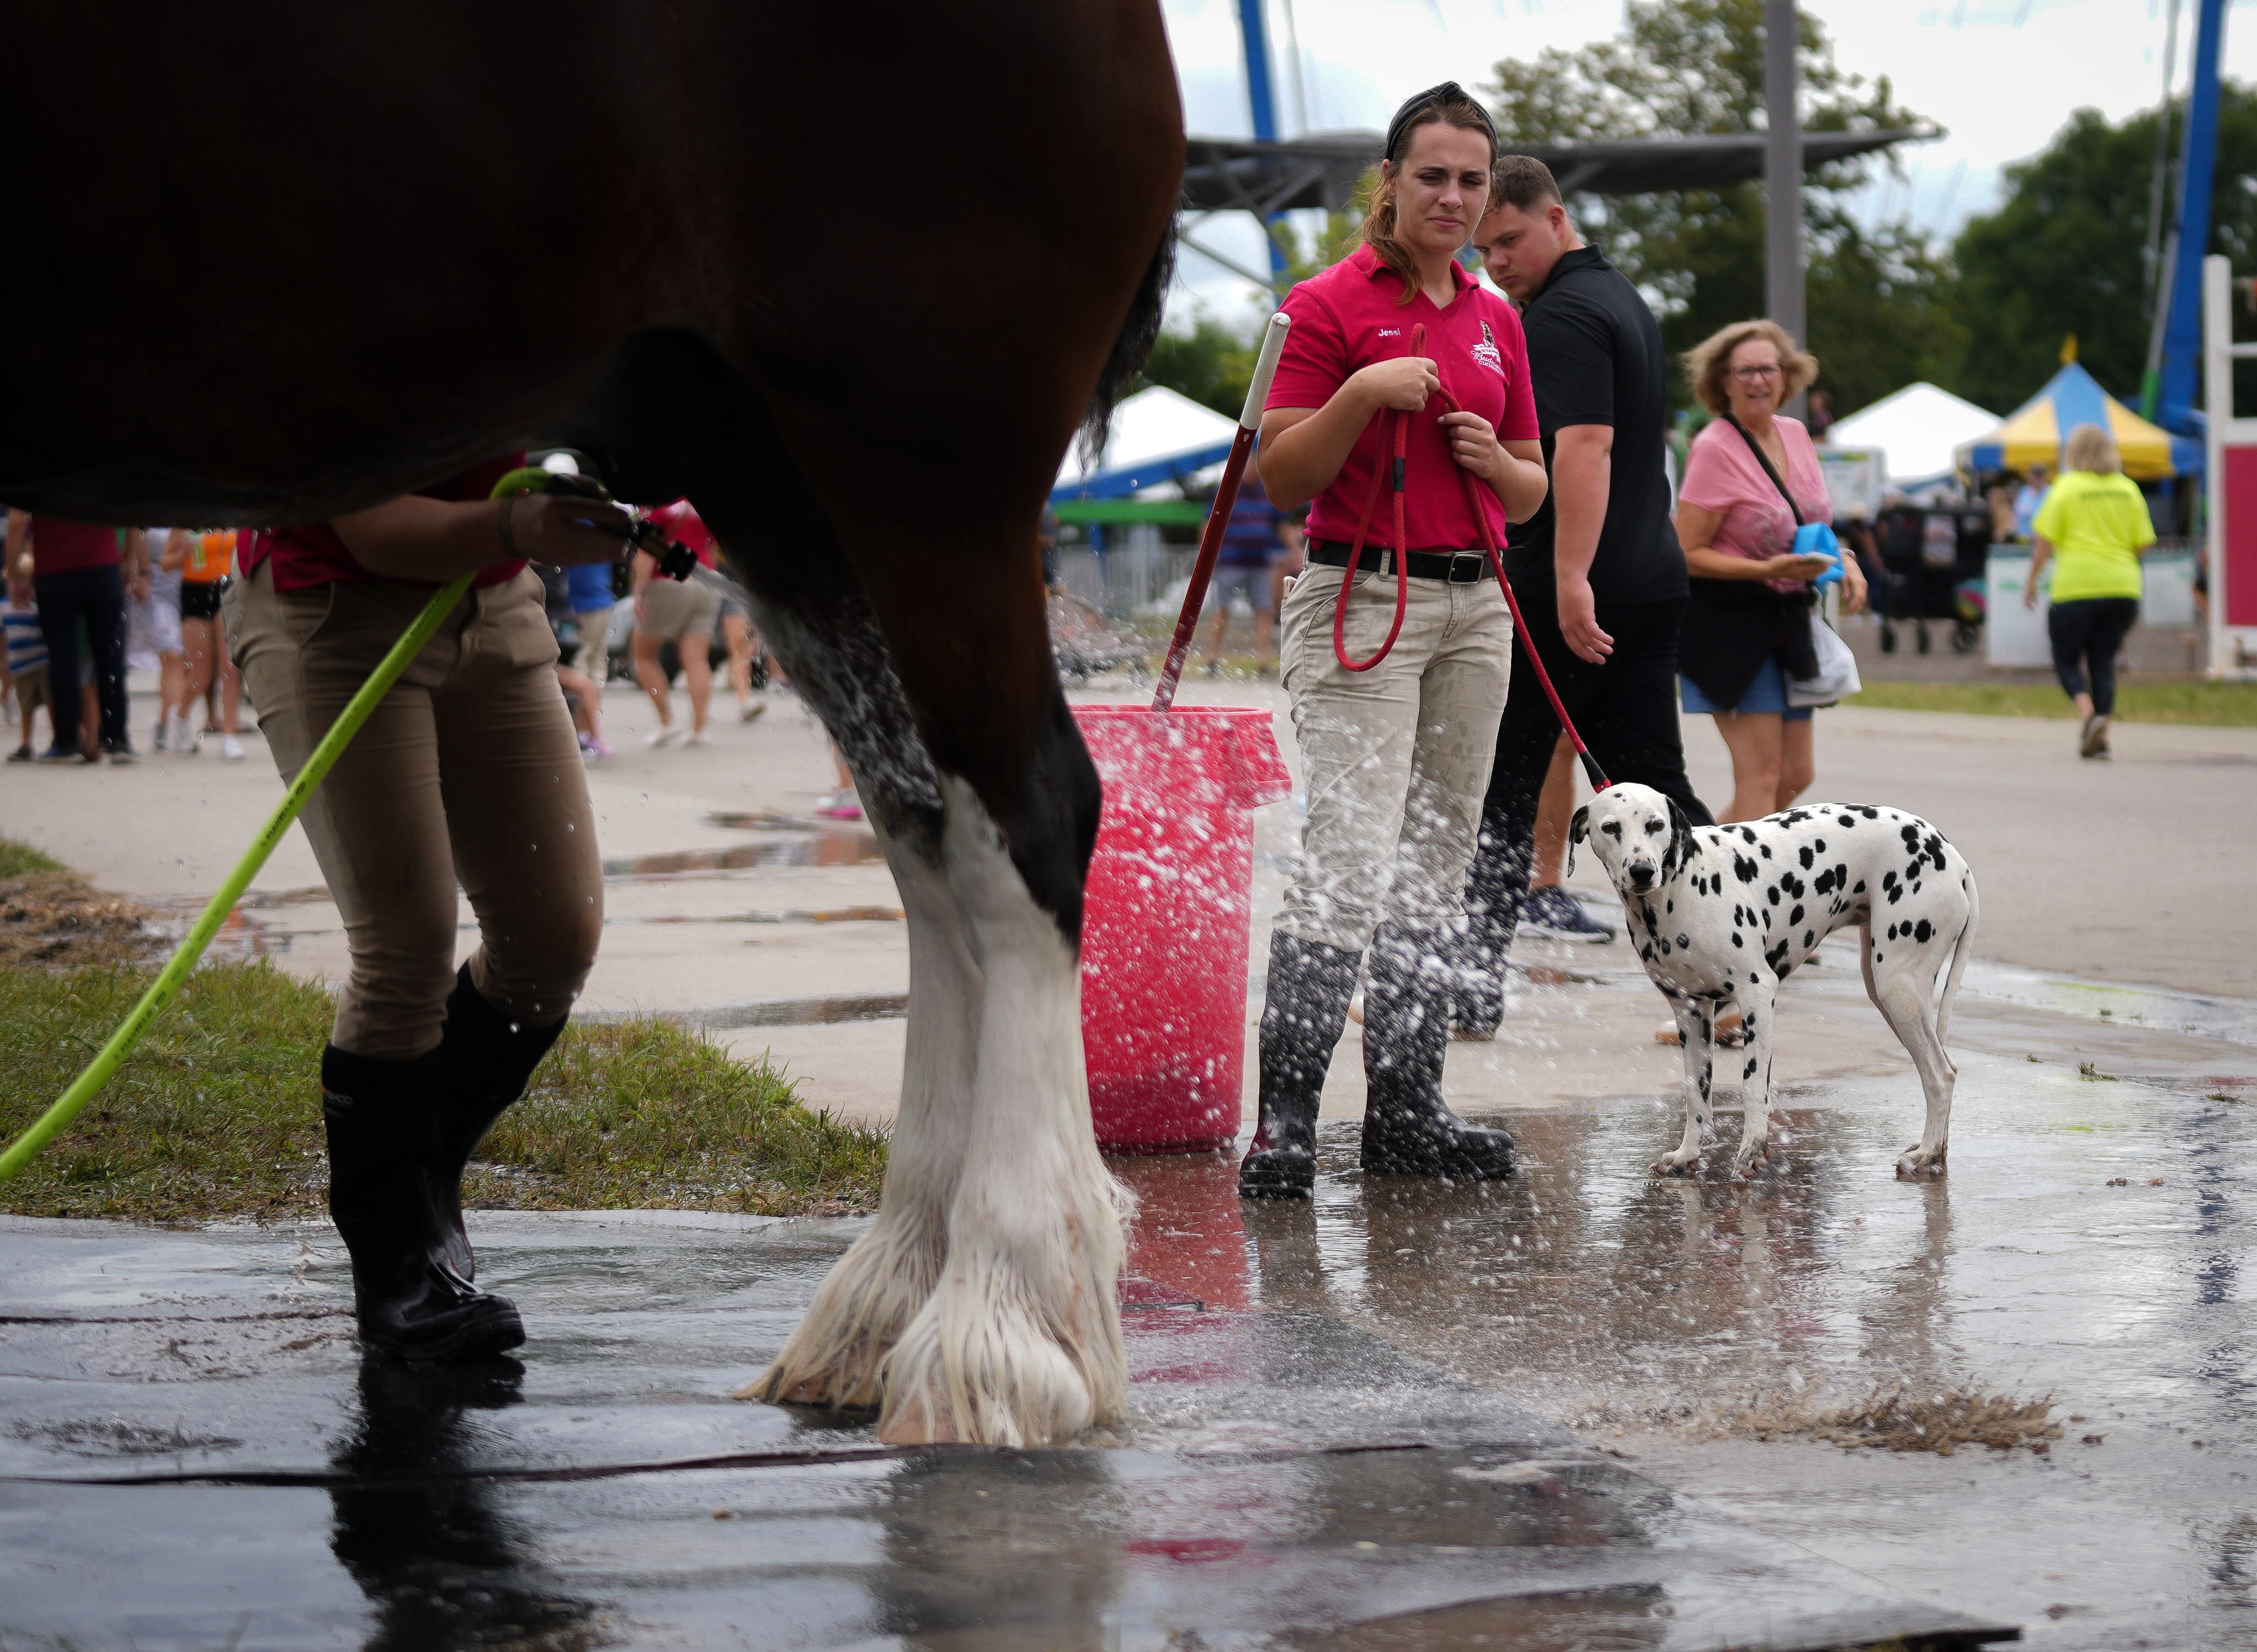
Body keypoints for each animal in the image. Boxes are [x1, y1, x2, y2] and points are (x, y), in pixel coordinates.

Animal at [0, 0, 1191, 1444]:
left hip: (921, 459)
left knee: (1021, 821)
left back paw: (1003, 1326)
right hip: (780, 476)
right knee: (921, 834)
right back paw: (883, 1306)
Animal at [1571, 785, 1977, 1173]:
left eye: (1656, 825)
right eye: (1611, 827)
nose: (1642, 870)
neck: (1682, 889)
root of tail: (1954, 858)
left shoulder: (1758, 995)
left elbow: (1753, 1087)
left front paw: (1752, 1151)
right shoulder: (1691, 1012)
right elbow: (1696, 1097)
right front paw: (1687, 1156)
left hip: (1898, 989)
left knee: (1941, 1076)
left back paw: (1926, 1154)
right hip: (1887, 993)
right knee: (1945, 1069)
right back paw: (1936, 1152)